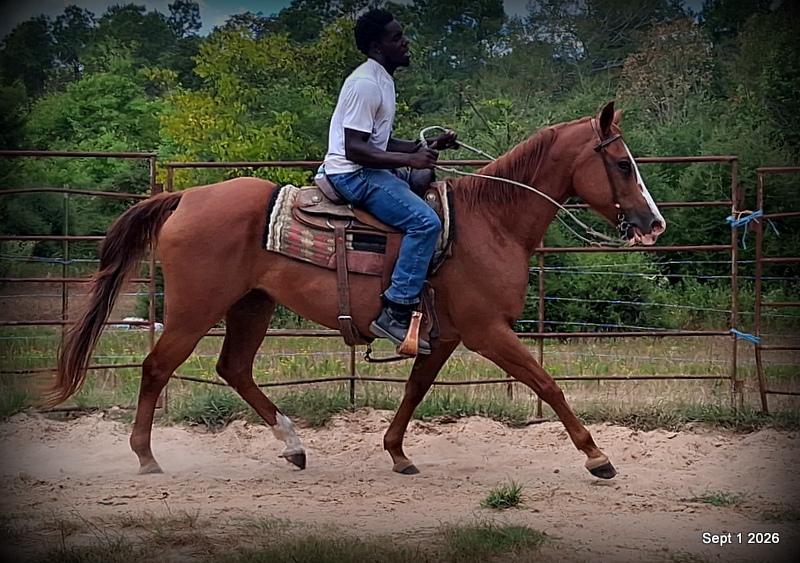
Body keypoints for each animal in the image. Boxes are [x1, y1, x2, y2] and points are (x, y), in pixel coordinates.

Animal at [51, 101, 665, 479]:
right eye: (621, 163)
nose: (654, 223)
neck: (490, 221)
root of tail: (185, 197)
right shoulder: (488, 331)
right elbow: (548, 384)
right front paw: (597, 457)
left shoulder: (444, 336)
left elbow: (415, 390)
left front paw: (397, 453)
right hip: (194, 308)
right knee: (157, 367)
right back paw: (146, 457)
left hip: (252, 305)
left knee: (234, 369)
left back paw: (294, 445)